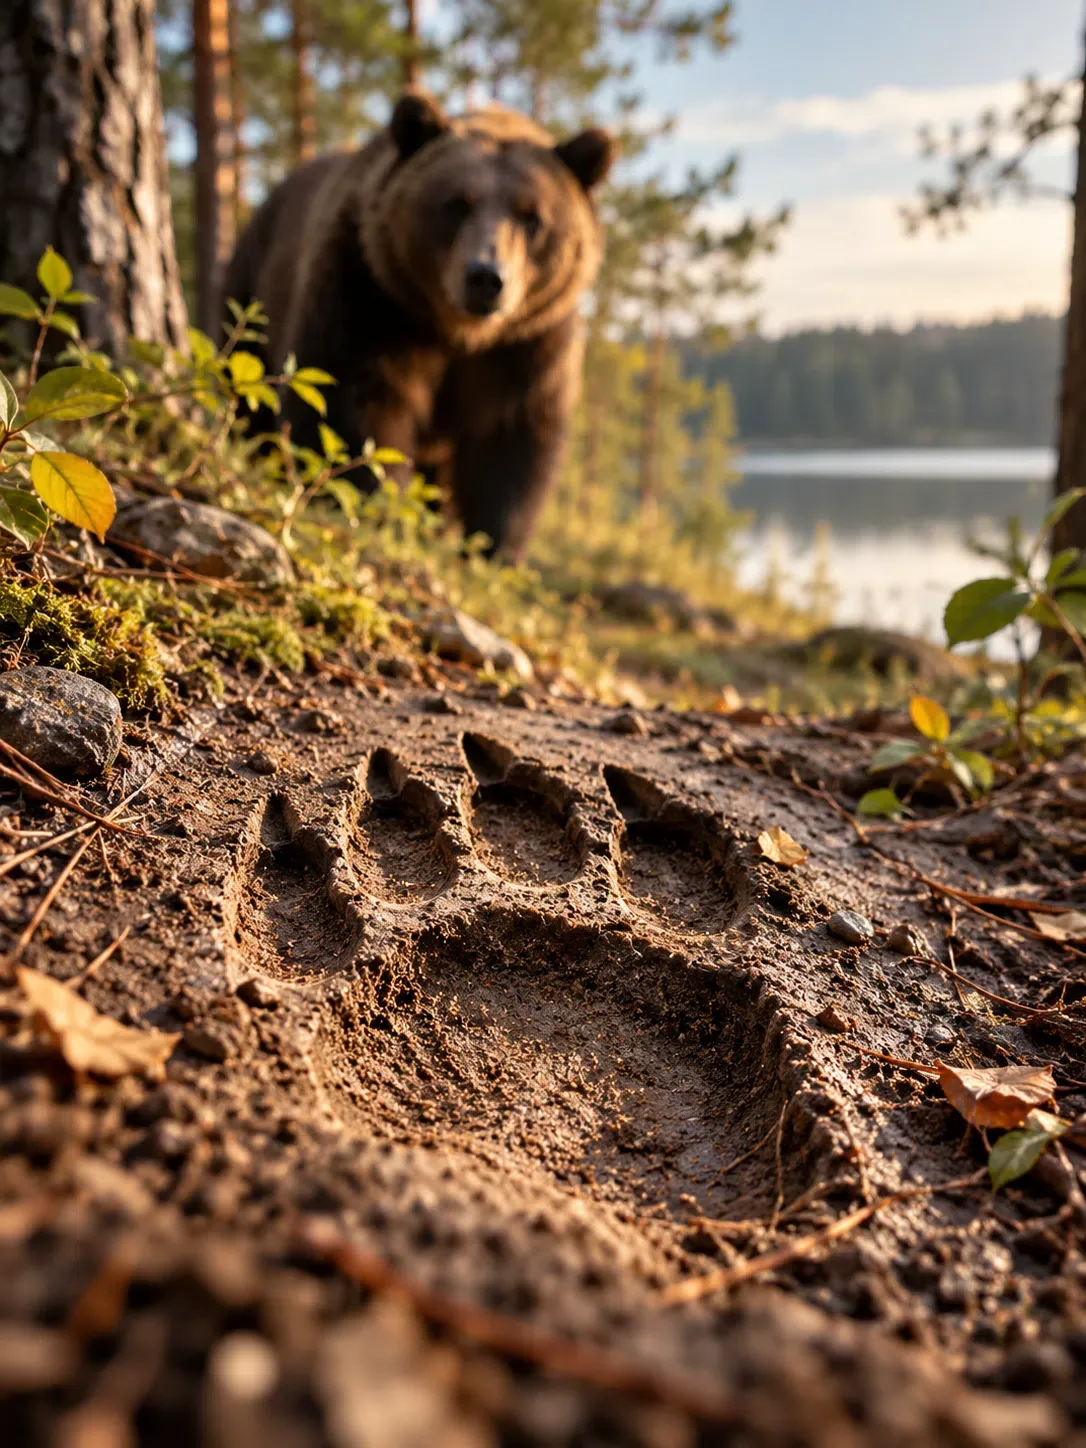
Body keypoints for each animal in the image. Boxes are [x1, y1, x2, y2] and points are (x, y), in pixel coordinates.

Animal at [222, 92, 617, 557]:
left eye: (531, 216)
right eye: (457, 204)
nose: (486, 277)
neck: (458, 333)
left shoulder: (530, 341)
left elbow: (512, 438)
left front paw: (490, 547)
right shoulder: (370, 294)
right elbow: (353, 404)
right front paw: (374, 510)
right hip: (251, 286)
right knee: (244, 384)